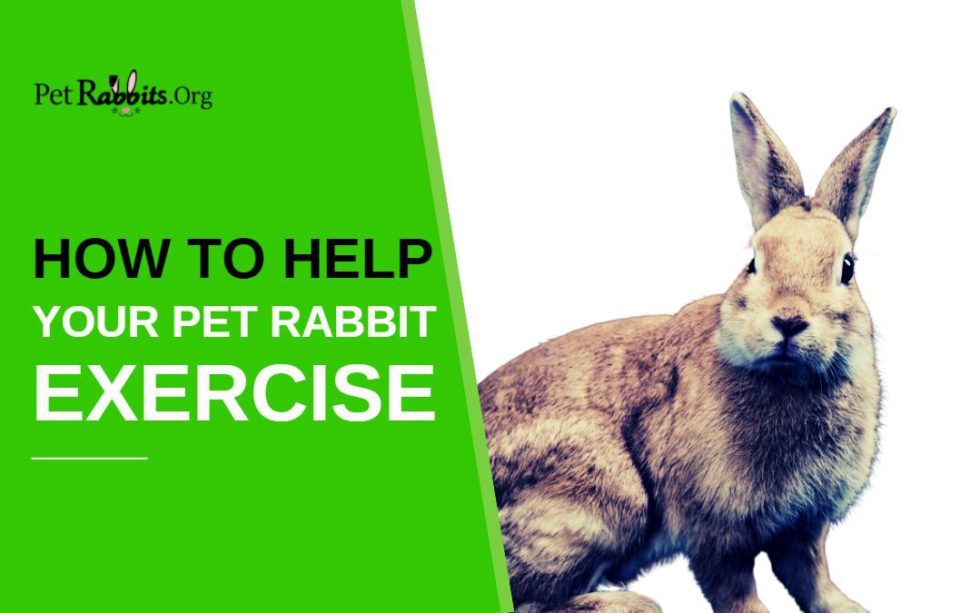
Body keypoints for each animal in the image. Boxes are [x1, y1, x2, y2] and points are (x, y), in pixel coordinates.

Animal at [480, 92, 895, 613]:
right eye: (753, 262)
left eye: (847, 267)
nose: (788, 320)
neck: (788, 378)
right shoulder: (714, 530)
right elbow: (734, 588)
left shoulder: (804, 525)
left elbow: (811, 576)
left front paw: (848, 608)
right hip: (606, 499)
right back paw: (636, 604)